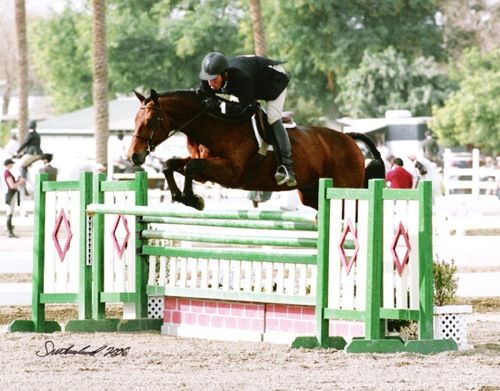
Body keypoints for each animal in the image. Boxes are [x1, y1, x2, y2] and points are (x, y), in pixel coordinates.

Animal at [127, 89, 384, 211]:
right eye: (135, 119)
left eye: (151, 121)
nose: (133, 156)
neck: (214, 123)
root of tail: (349, 139)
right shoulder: (205, 170)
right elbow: (171, 164)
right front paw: (182, 197)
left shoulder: (230, 173)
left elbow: (189, 166)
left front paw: (192, 199)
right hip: (311, 193)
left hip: (346, 189)